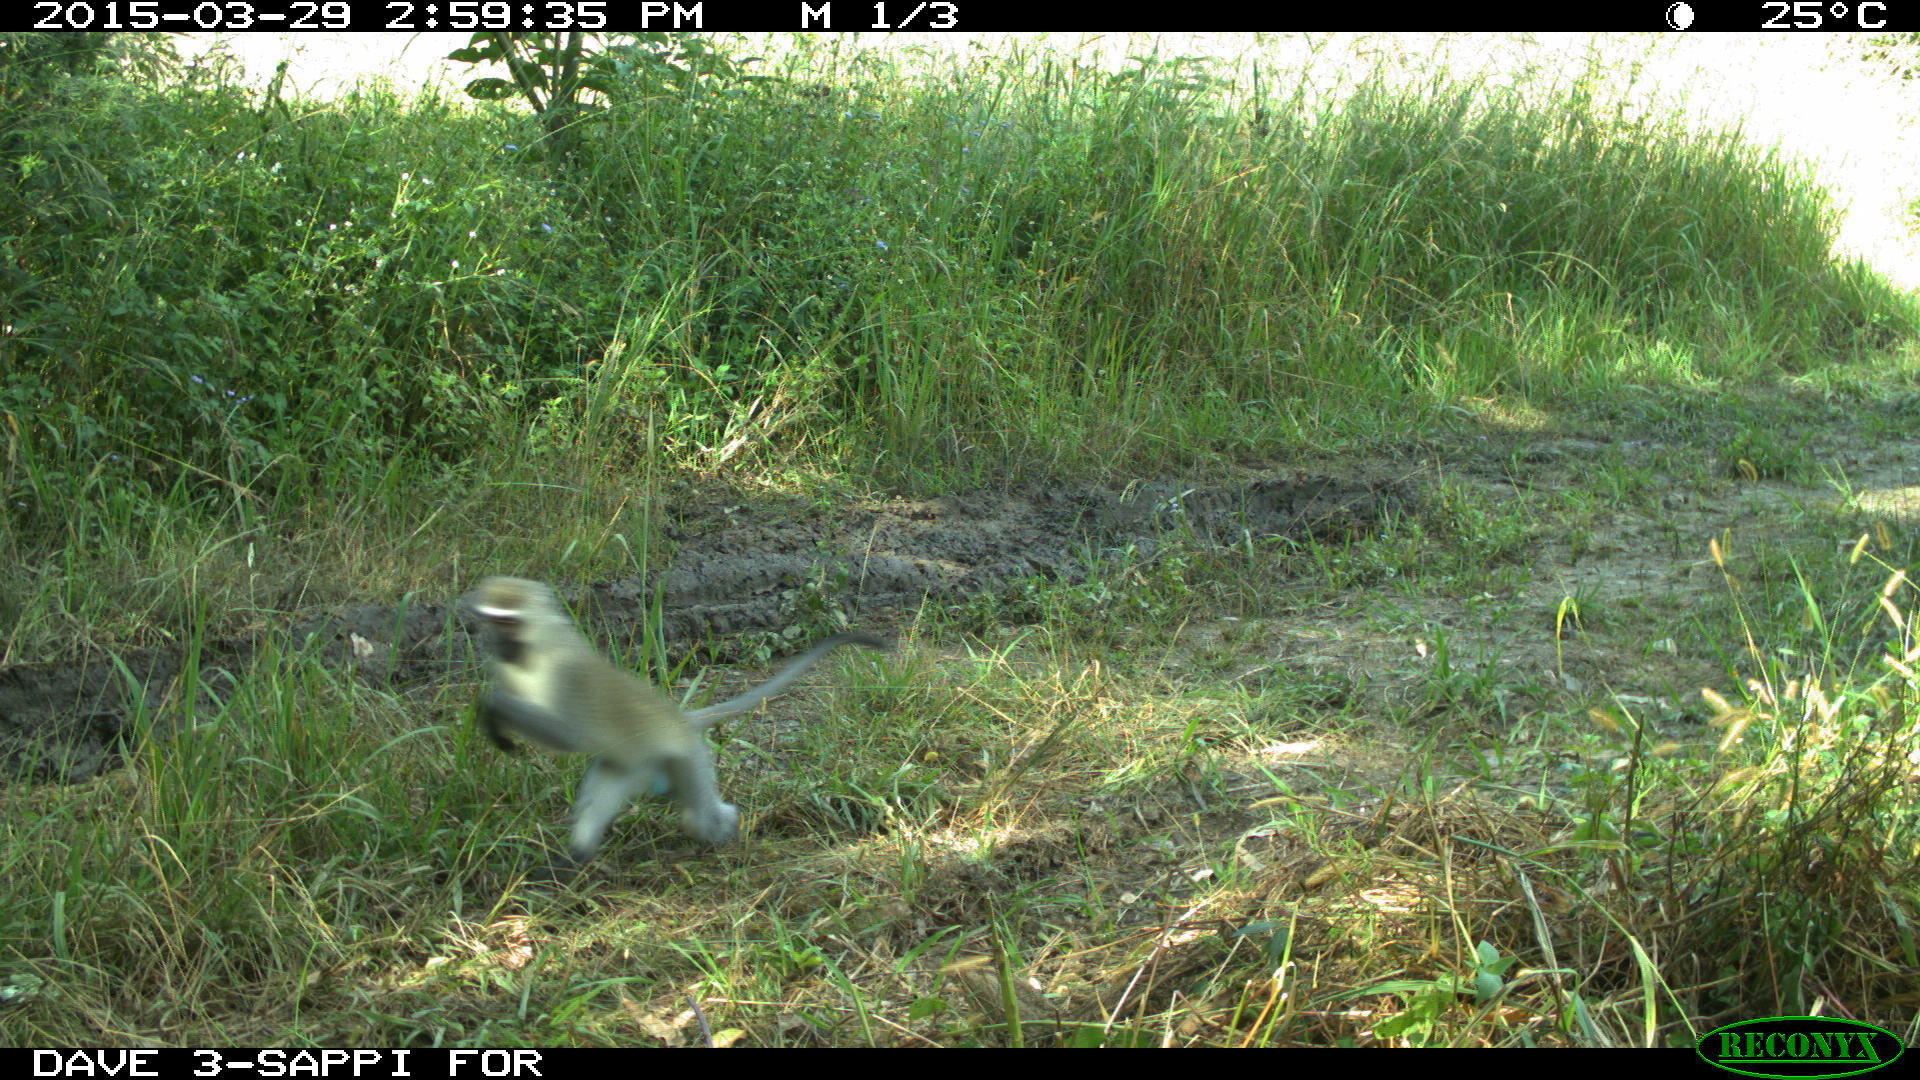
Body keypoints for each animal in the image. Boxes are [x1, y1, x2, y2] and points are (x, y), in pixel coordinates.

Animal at [460, 576, 887, 860]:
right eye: (493, 622)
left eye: (509, 621)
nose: (499, 644)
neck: (539, 647)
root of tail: (679, 722)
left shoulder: (570, 677)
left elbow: (571, 737)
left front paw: (492, 711)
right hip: (638, 762)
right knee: (605, 786)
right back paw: (575, 858)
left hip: (687, 757)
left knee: (699, 818)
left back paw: (729, 826)